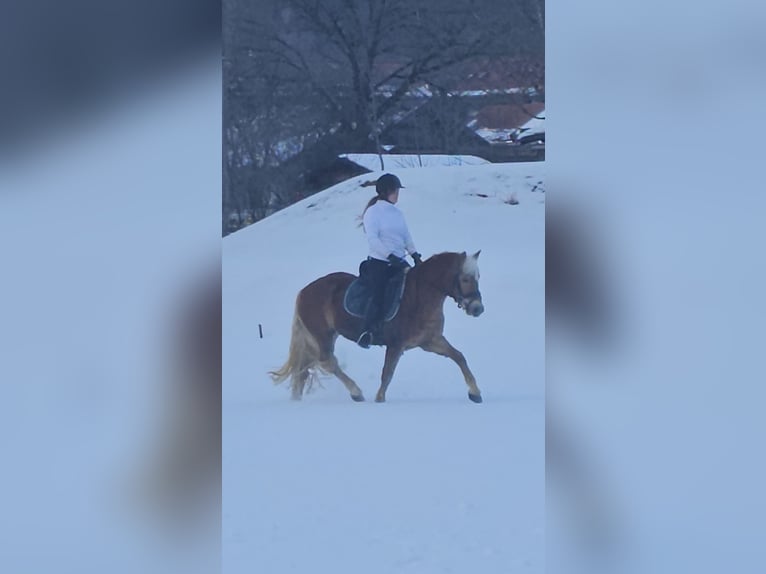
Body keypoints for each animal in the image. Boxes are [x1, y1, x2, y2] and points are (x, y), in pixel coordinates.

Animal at [269, 250, 485, 403]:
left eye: (478, 277)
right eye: (465, 278)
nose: (478, 309)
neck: (419, 296)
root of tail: (304, 291)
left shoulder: (430, 341)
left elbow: (459, 357)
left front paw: (475, 393)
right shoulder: (396, 345)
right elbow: (387, 374)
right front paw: (379, 400)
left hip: (321, 337)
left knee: (304, 369)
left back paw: (297, 401)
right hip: (321, 335)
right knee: (327, 362)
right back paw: (356, 393)